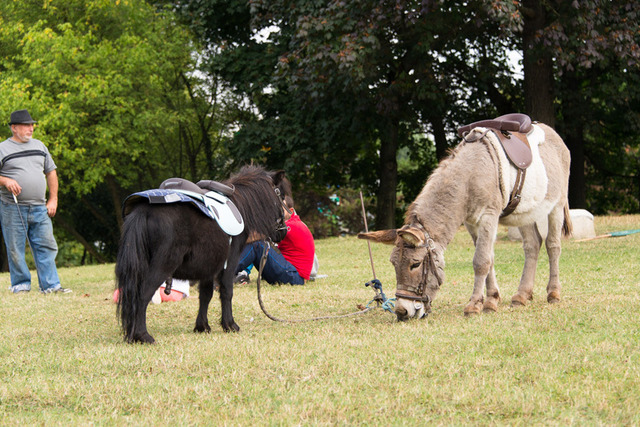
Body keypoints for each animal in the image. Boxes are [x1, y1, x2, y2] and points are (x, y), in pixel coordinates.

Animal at [116, 166, 292, 342]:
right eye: (281, 196)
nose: (283, 232)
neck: (241, 206)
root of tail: (143, 211)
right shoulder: (229, 263)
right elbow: (227, 291)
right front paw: (230, 325)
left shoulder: (208, 268)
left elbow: (205, 296)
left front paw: (202, 326)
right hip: (162, 267)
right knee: (142, 295)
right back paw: (143, 335)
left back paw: (132, 335)